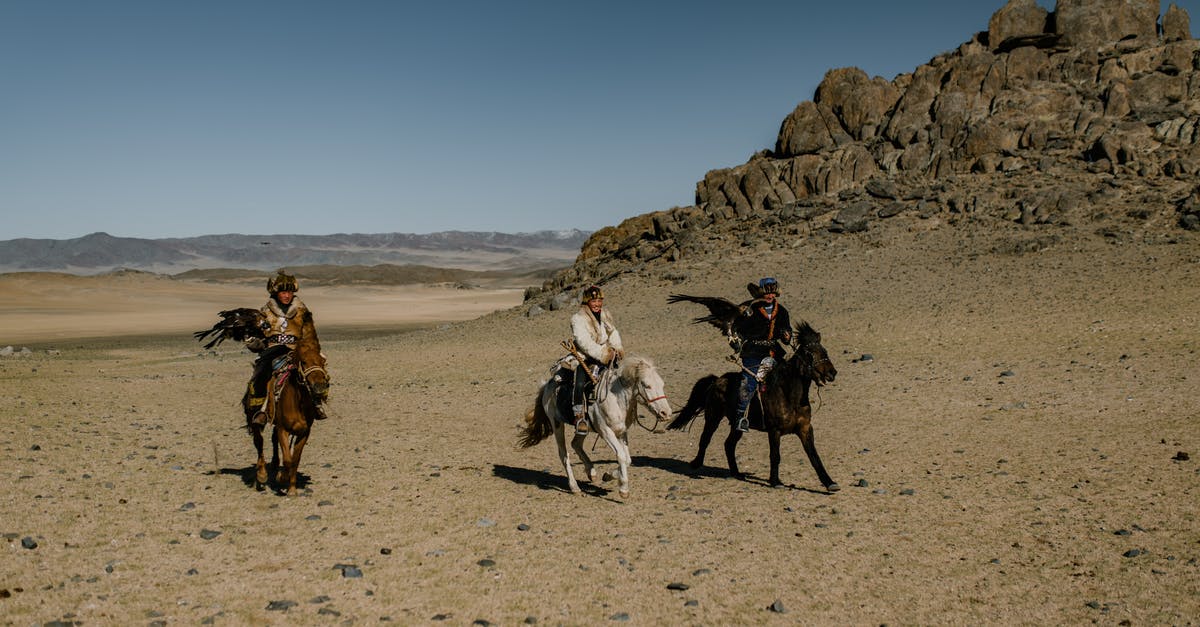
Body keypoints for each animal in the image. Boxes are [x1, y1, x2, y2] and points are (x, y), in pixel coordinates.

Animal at [244, 341, 331, 492]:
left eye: (323, 361)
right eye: (304, 362)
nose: (320, 386)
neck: (297, 402)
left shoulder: (304, 432)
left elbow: (295, 459)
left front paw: (292, 489)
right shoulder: (283, 429)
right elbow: (288, 459)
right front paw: (282, 477)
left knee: (273, 439)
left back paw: (274, 463)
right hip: (254, 418)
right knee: (259, 442)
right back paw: (261, 475)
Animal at [518, 353, 676, 494]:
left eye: (662, 384)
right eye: (646, 385)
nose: (666, 413)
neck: (615, 398)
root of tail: (547, 385)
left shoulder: (621, 431)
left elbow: (628, 459)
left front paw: (608, 476)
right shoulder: (606, 432)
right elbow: (621, 456)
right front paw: (623, 489)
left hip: (583, 427)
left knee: (576, 444)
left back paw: (591, 472)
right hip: (556, 424)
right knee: (563, 453)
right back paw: (574, 486)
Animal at [667, 319, 844, 490]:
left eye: (825, 351)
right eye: (808, 353)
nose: (832, 373)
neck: (789, 396)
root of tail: (717, 380)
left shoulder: (805, 429)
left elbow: (814, 456)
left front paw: (830, 483)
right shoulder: (774, 430)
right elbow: (775, 455)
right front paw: (776, 482)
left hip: (736, 424)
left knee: (729, 444)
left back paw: (736, 473)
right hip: (713, 417)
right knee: (705, 438)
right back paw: (696, 464)